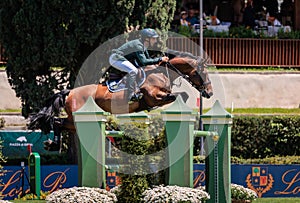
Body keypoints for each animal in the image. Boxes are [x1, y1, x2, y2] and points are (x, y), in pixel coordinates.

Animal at [27, 54, 211, 151]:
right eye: (204, 73)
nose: (209, 93)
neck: (161, 73)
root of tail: (70, 91)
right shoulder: (153, 96)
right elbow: (174, 96)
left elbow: (181, 95)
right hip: (77, 115)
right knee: (58, 122)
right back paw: (53, 145)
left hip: (73, 121)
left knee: (60, 123)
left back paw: (52, 145)